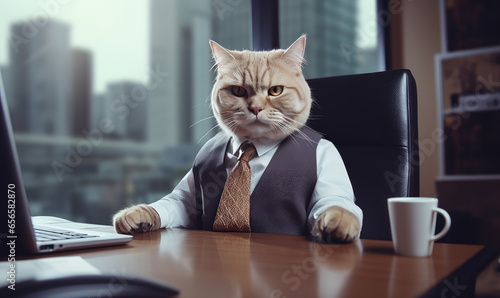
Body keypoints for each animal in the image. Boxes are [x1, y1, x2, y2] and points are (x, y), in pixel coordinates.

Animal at [114, 35, 364, 243]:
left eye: (276, 91)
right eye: (238, 91)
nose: (255, 108)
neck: (251, 148)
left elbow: (334, 201)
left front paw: (340, 218)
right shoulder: (187, 195)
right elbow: (173, 202)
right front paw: (138, 213)